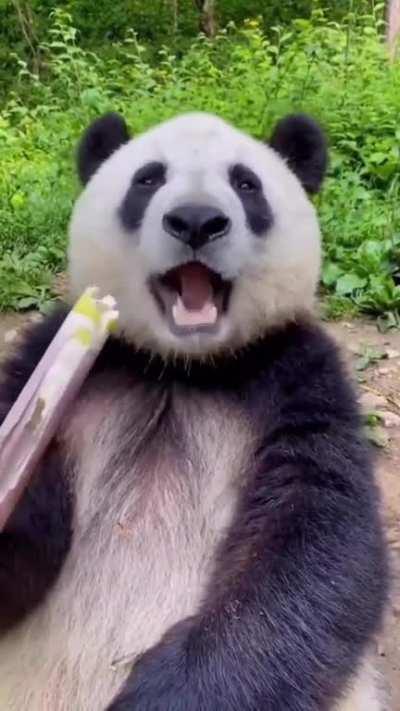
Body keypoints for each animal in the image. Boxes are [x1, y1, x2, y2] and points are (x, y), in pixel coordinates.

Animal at [0, 111, 388, 711]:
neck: (181, 368)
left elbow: (313, 540)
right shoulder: (54, 357)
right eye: (148, 179)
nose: (197, 221)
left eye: (247, 184)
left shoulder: (297, 374)